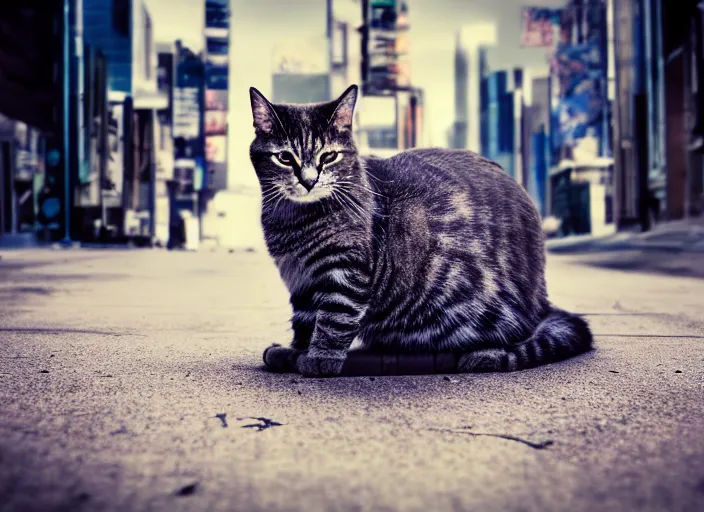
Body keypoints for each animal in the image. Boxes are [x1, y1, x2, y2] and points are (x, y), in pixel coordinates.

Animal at [250, 84, 592, 378]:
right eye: (285, 157)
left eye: (329, 156)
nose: (309, 180)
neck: (293, 222)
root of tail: (542, 301)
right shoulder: (302, 282)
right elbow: (305, 321)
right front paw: (294, 352)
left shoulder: (346, 271)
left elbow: (334, 316)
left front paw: (320, 358)